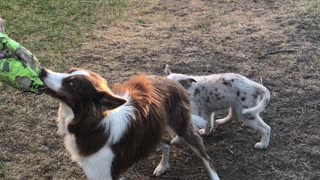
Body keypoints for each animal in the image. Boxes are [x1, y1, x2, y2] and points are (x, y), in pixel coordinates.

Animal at [39, 68, 220, 179]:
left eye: (72, 83)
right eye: (68, 72)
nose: (42, 71)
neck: (90, 126)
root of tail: (170, 79)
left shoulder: (107, 173)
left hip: (180, 127)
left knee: (205, 156)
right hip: (150, 132)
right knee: (166, 144)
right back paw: (162, 166)